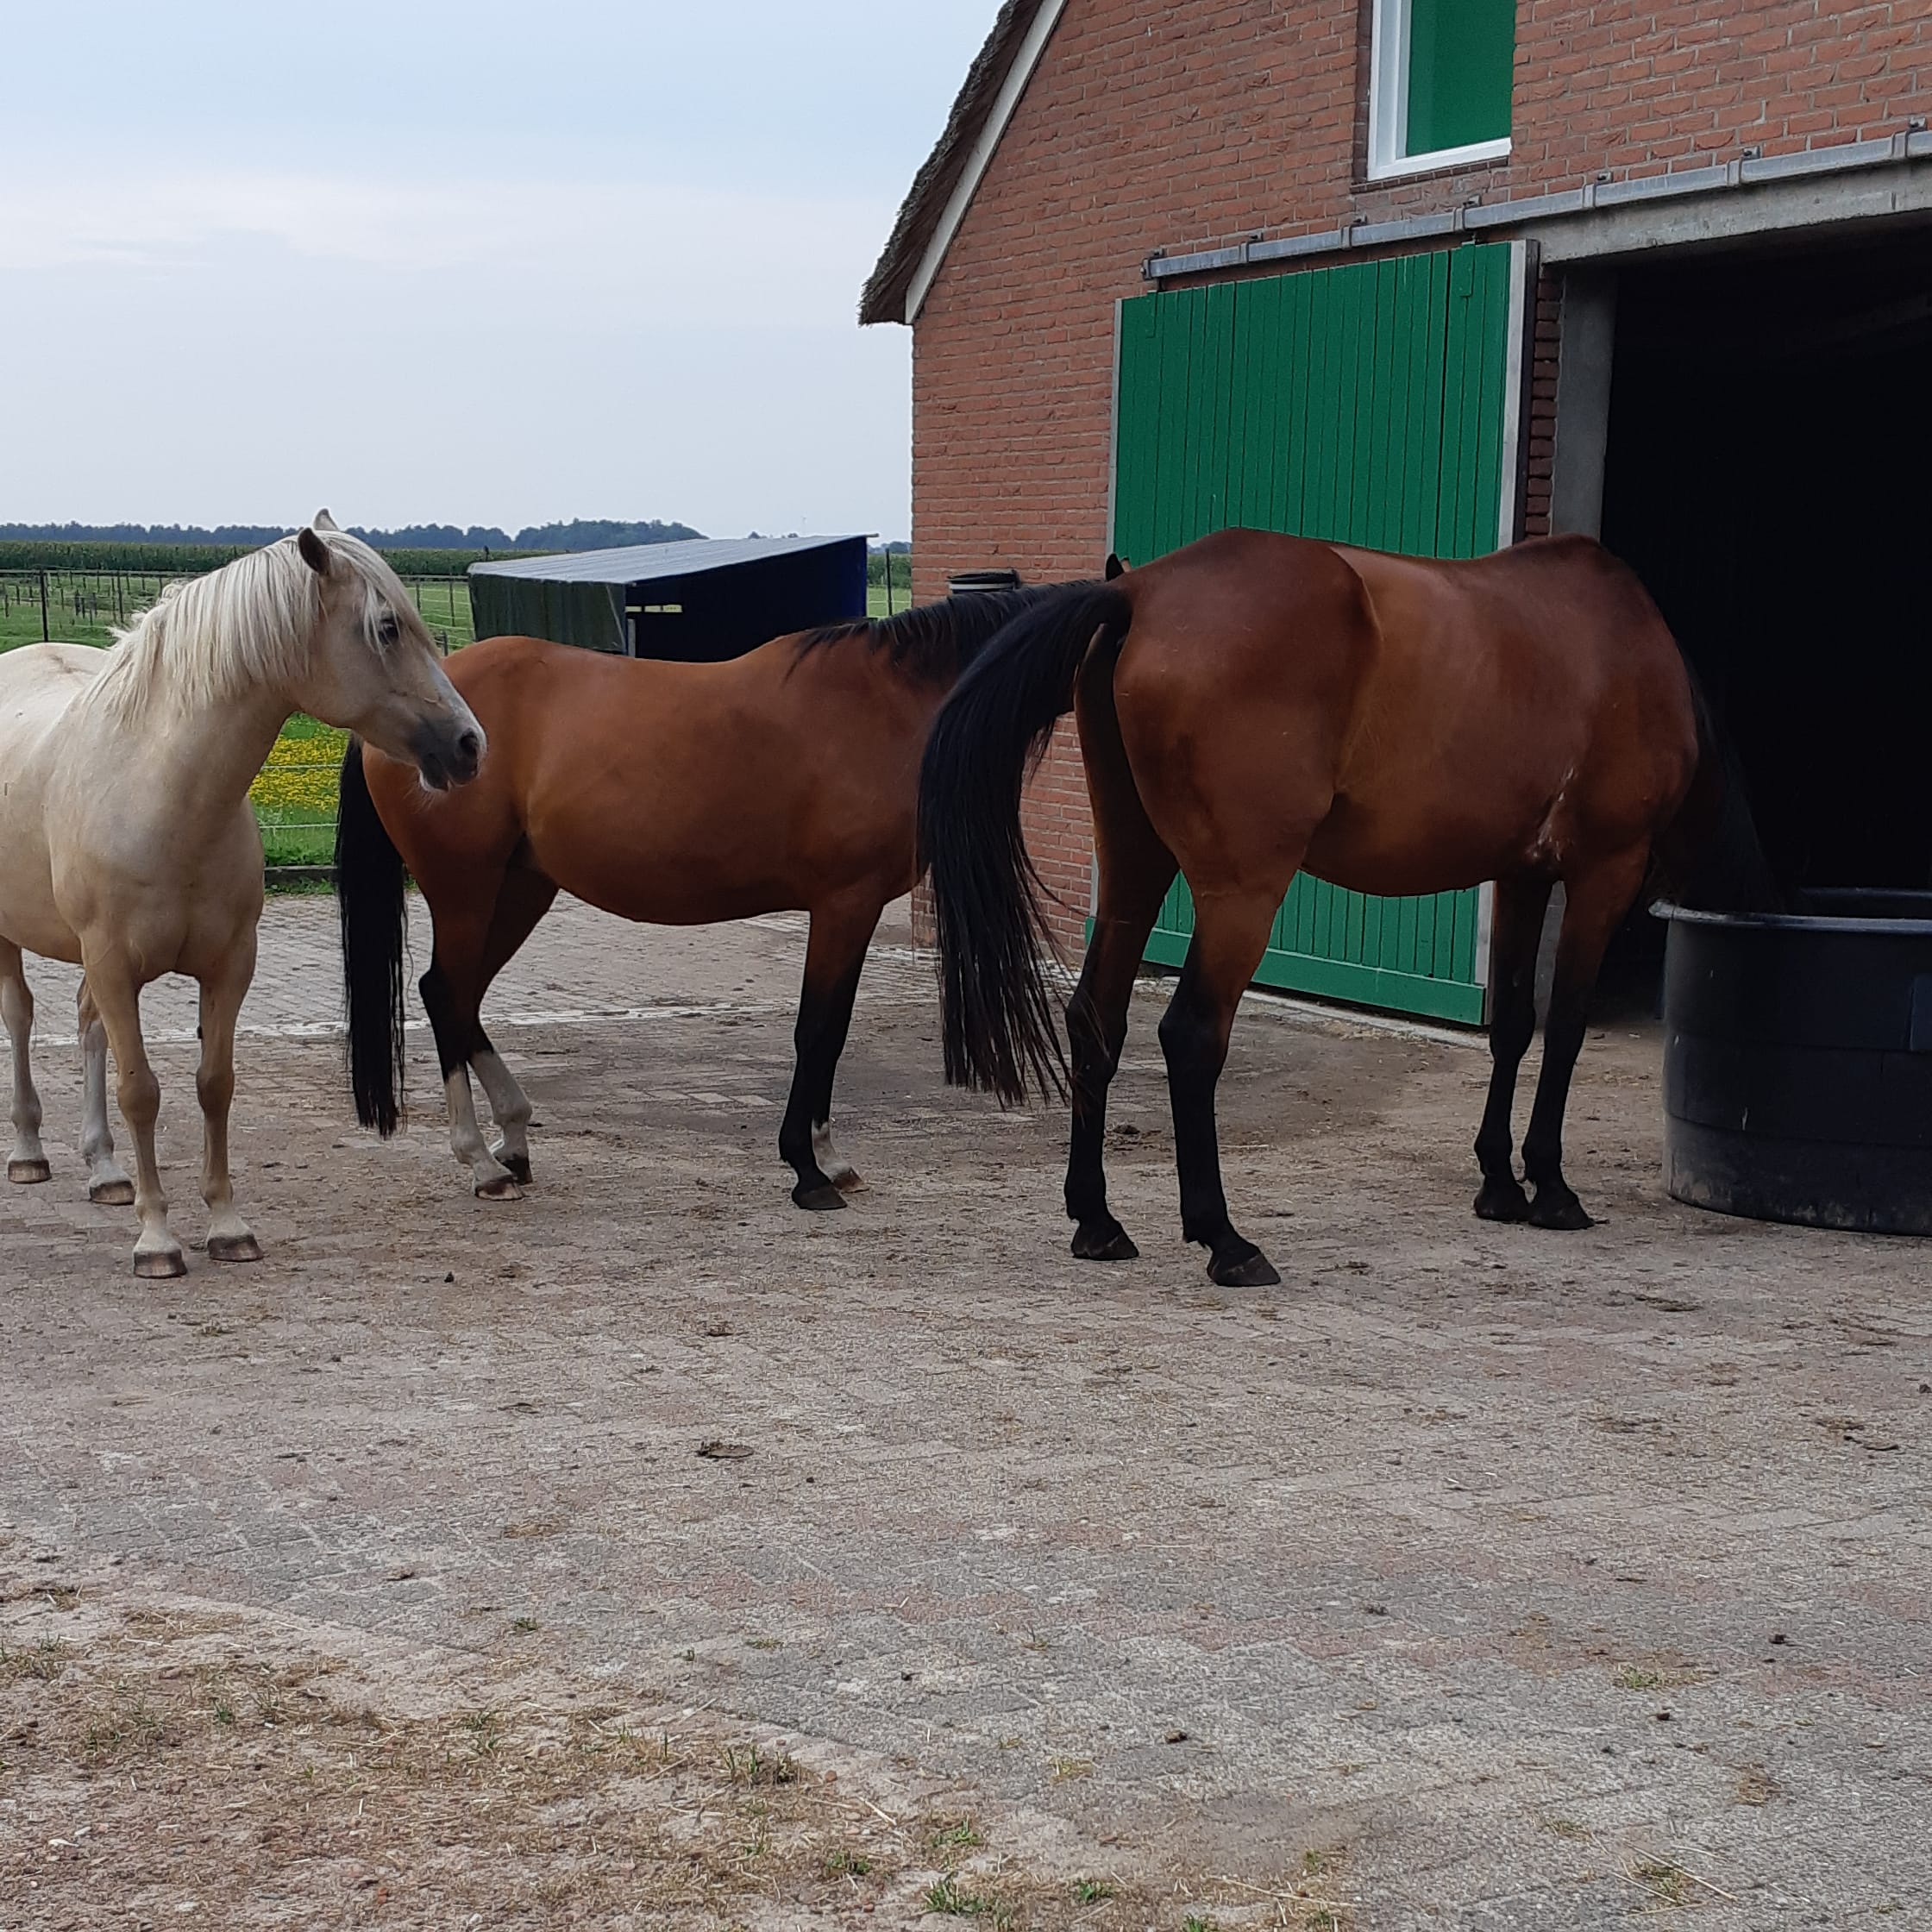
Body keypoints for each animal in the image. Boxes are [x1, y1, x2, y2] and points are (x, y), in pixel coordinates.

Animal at [0, 515, 483, 1278]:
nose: (470, 744)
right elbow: (142, 1091)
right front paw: (157, 1240)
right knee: (20, 1018)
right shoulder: (112, 963)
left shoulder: (228, 966)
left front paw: (226, 1226)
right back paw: (27, 1153)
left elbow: (214, 1084)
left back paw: (106, 1171)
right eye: (386, 628)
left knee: (86, 1026)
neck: (160, 792)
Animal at [334, 587, 1050, 1207]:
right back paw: (481, 1162)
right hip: (465, 892)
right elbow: (820, 1030)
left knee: (462, 998)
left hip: (518, 891)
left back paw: (512, 1140)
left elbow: (830, 1030)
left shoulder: (851, 909)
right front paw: (808, 1168)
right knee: (446, 995)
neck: (882, 700)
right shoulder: (846, 904)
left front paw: (828, 1158)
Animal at [917, 526, 1775, 1286]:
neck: (1629, 650)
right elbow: (1564, 1030)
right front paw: (1553, 1190)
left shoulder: (1521, 876)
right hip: (1241, 894)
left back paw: (1097, 1222)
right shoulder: (1605, 870)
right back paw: (1226, 1240)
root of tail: (1136, 592)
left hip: (1133, 864)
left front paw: (1500, 1184)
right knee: (1191, 1034)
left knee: (1097, 1017)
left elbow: (1512, 1027)